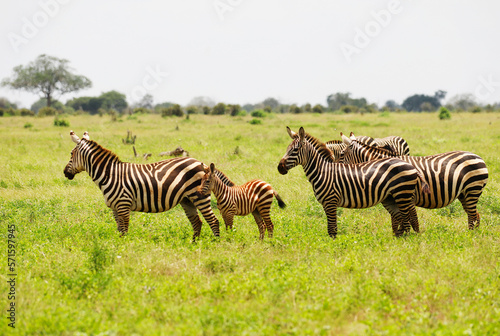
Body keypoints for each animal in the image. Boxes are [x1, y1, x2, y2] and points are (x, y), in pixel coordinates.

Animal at [62, 131, 219, 242]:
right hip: (187, 199)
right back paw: (194, 244)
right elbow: (119, 231)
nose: (64, 172)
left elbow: (124, 231)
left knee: (213, 220)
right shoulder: (115, 208)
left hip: (199, 196)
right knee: (197, 222)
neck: (110, 174)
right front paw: (118, 247)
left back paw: (215, 244)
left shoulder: (123, 205)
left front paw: (124, 250)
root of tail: (200, 163)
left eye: (71, 153)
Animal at [278, 126, 430, 239]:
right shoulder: (326, 204)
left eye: (295, 150)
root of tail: (410, 165)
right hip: (392, 197)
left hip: (402, 194)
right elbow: (331, 229)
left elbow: (332, 230)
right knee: (401, 219)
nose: (279, 168)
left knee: (407, 220)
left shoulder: (331, 202)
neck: (323, 172)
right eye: (286, 149)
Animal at [340, 134, 488, 231]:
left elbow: (411, 220)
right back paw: (473, 235)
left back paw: (471, 236)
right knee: (474, 214)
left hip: (472, 189)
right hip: (464, 194)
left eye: (341, 155)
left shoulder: (408, 197)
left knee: (472, 215)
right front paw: (398, 238)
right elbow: (396, 220)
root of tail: (478, 157)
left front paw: (412, 240)